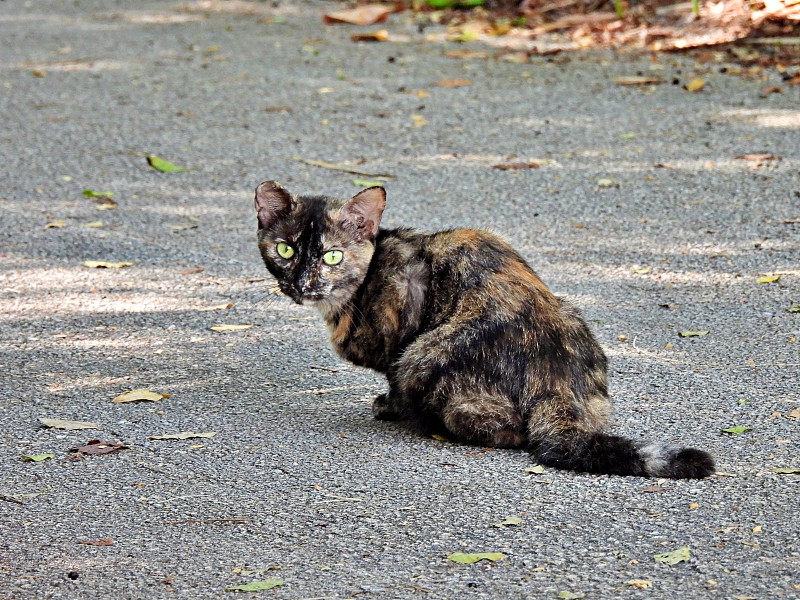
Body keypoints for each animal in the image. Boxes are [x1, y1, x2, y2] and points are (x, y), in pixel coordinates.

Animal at [255, 180, 712, 480]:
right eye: (285, 249)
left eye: (332, 255)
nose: (302, 282)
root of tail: (556, 383)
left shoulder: (403, 325)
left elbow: (392, 383)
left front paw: (389, 407)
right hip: (574, 317)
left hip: (424, 354)